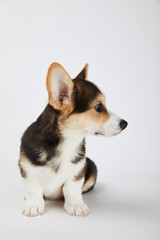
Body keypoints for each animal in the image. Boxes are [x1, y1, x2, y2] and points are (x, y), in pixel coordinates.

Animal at [18, 62, 128, 217]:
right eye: (98, 107)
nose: (125, 123)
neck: (67, 141)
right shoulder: (28, 169)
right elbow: (33, 189)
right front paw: (33, 205)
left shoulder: (77, 171)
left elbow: (72, 190)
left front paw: (76, 206)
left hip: (92, 167)